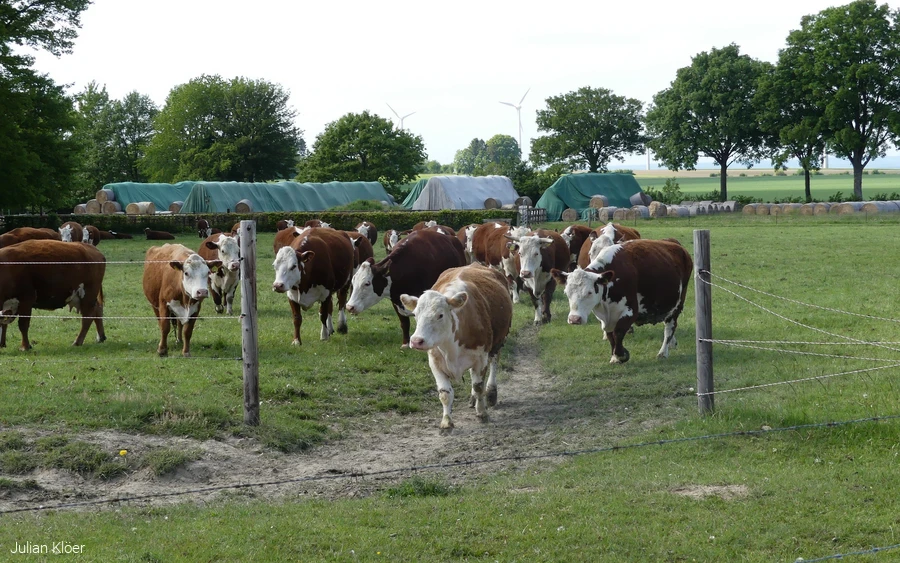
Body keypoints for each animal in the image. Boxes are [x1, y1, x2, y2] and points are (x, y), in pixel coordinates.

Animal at [400, 264, 512, 431]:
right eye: (415, 314)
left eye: (440, 315)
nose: (416, 341)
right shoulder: (435, 362)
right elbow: (445, 393)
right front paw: (447, 422)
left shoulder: (481, 357)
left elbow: (479, 387)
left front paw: (482, 413)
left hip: (498, 342)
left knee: (494, 362)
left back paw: (491, 393)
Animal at [552, 239, 692, 364]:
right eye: (567, 293)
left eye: (589, 292)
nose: (574, 319)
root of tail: (678, 247)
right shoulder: (605, 318)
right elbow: (610, 335)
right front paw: (615, 356)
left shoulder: (630, 311)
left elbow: (618, 333)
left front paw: (621, 355)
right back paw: (672, 343)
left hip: (677, 304)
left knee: (670, 327)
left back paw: (663, 352)